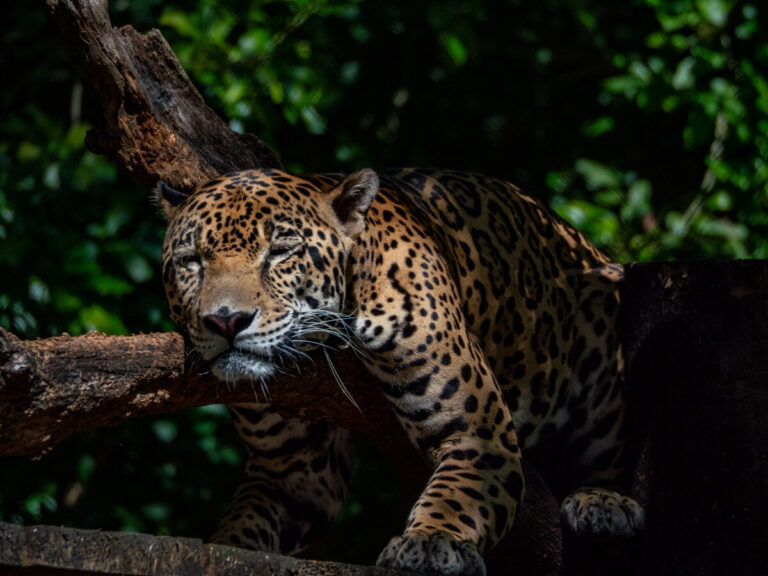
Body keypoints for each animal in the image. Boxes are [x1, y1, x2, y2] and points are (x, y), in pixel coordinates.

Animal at [156, 167, 644, 576]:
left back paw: (604, 504)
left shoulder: (477, 433)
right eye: (191, 260)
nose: (226, 321)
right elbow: (243, 524)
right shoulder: (292, 471)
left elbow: (454, 495)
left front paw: (431, 542)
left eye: (280, 252)